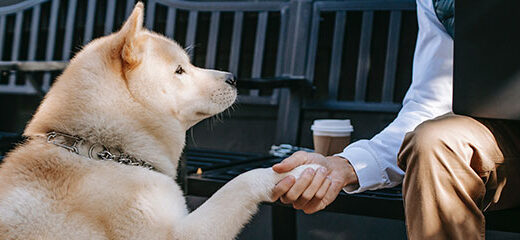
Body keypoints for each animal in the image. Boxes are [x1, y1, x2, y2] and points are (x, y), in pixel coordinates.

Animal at [0, 2, 316, 240]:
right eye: (179, 70)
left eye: (187, 64)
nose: (233, 78)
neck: (101, 151)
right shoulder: (179, 233)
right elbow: (241, 182)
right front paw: (300, 170)